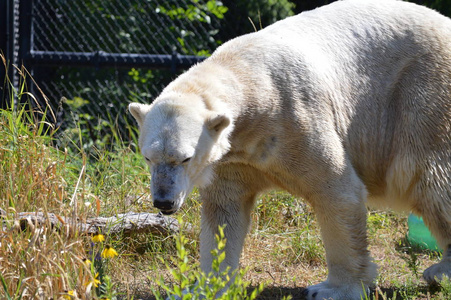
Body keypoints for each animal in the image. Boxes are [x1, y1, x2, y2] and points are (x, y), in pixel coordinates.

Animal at [129, 1, 451, 298]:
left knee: (430, 180)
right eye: (148, 157)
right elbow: (223, 212)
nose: (163, 201)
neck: (250, 79)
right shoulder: (232, 158)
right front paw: (205, 287)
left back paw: (439, 271)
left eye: (185, 158)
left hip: (423, 96)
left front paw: (333, 288)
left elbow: (337, 191)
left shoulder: (296, 117)